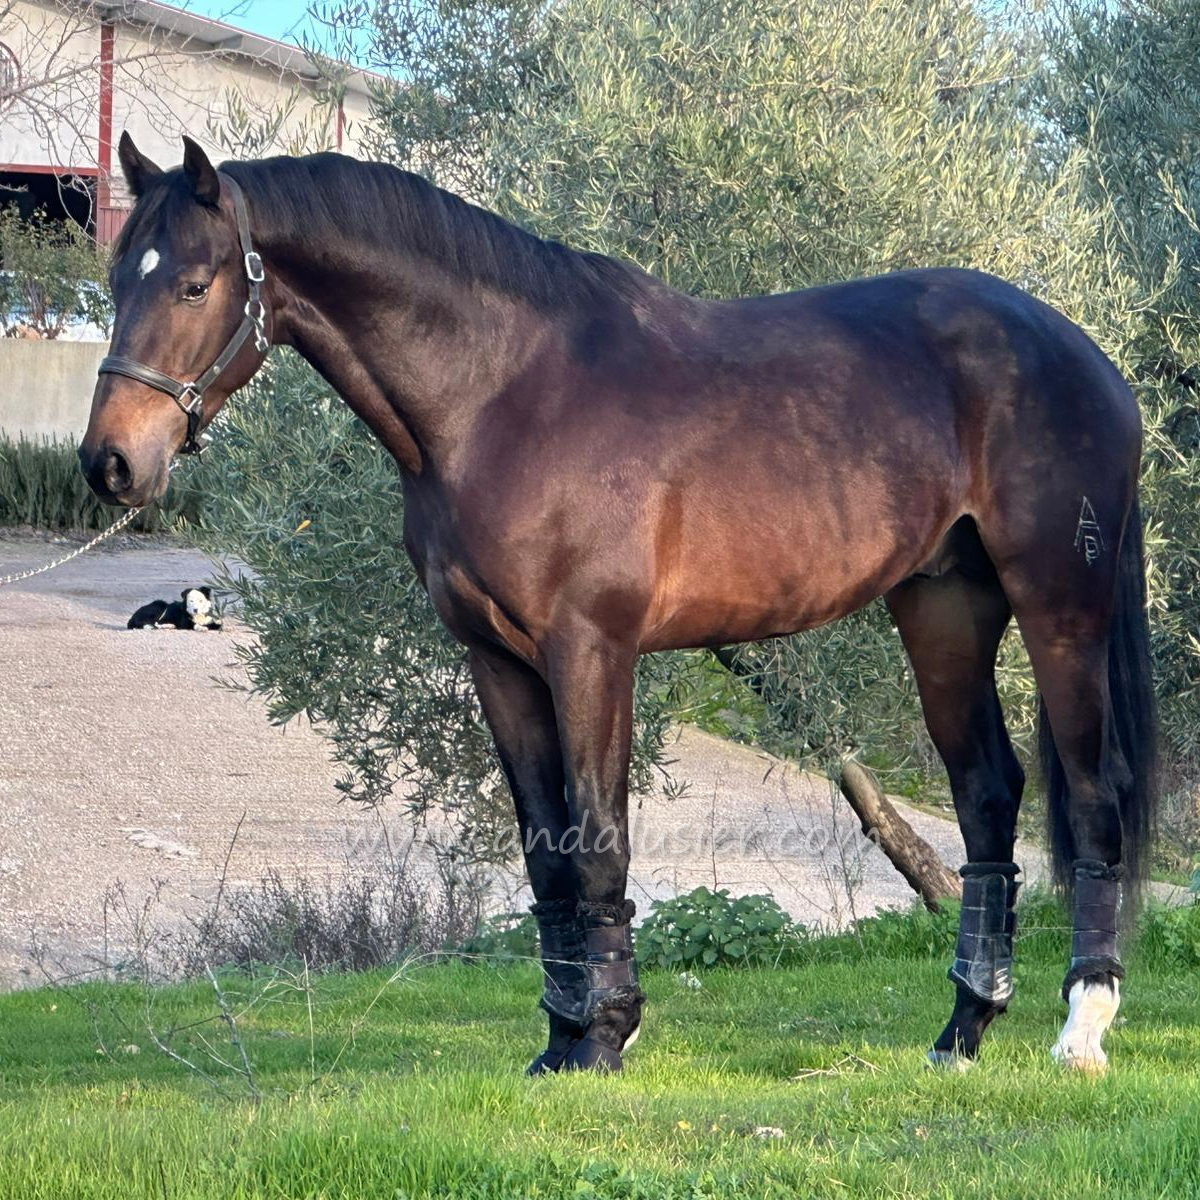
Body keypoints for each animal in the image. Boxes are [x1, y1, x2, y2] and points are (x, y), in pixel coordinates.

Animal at [80, 134, 1157, 1077]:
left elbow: (597, 841)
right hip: (943, 608)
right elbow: (546, 855)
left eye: (194, 283)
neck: (500, 395)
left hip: (1060, 606)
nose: (110, 463)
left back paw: (1084, 1028)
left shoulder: (590, 649)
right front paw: (563, 1040)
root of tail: (1088, 357)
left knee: (1092, 795)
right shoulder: (495, 660)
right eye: (117, 281)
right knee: (988, 798)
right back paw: (963, 1032)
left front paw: (605, 1039)